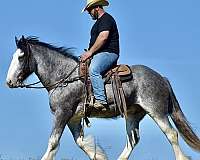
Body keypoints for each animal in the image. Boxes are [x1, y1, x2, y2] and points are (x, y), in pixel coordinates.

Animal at [6, 35, 200, 159]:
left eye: (21, 57)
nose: (9, 81)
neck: (64, 77)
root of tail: (162, 78)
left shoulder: (62, 113)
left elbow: (53, 142)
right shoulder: (73, 118)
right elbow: (81, 142)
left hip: (157, 111)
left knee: (171, 134)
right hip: (133, 115)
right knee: (132, 140)